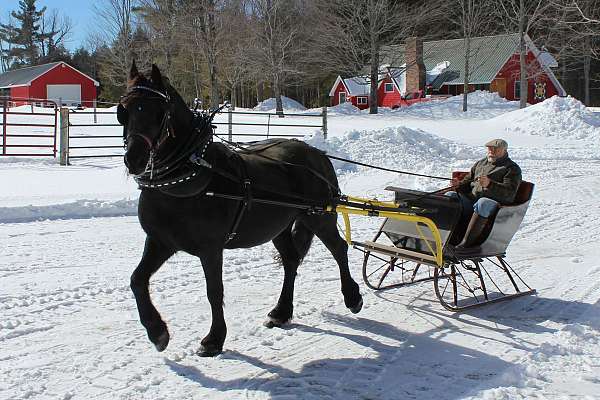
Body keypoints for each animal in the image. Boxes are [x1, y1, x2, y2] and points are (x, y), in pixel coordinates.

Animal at [117, 61, 360, 356]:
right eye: (124, 110)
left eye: (158, 111)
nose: (134, 159)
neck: (189, 175)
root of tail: (318, 154)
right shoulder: (160, 241)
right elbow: (137, 280)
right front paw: (157, 332)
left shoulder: (210, 249)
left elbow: (214, 291)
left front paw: (213, 339)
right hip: (279, 227)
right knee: (291, 261)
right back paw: (281, 311)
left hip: (319, 217)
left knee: (338, 249)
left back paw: (352, 297)